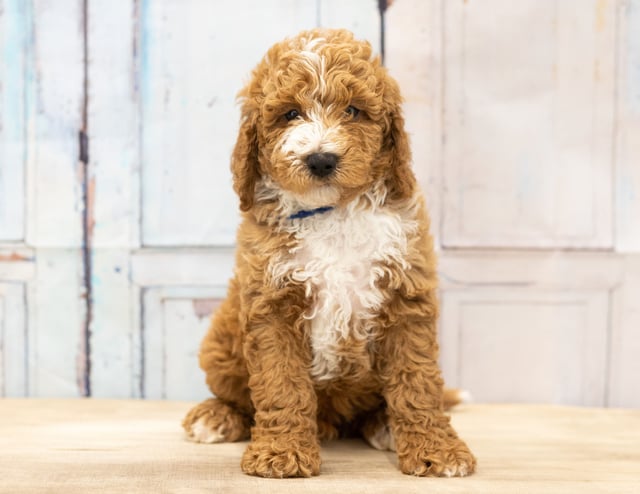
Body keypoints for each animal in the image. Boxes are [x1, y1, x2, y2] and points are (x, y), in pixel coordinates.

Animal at [181, 28, 476, 478]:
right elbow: (281, 383)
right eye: (289, 114)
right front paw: (281, 453)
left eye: (353, 110)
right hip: (221, 339)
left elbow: (418, 381)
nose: (320, 159)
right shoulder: (271, 303)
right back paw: (217, 416)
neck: (332, 211)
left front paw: (437, 451)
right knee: (234, 391)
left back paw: (384, 425)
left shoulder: (406, 294)